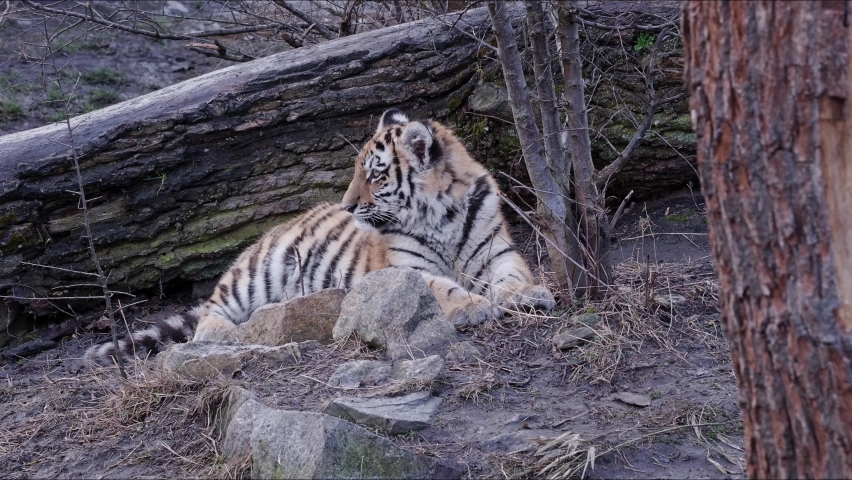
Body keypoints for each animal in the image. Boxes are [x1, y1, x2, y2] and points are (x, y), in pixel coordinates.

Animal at [84, 109, 554, 366]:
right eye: (357, 171)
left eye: (375, 174)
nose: (346, 206)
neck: (443, 213)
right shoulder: (406, 268)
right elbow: (443, 288)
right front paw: (474, 306)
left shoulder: (496, 250)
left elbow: (513, 274)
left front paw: (529, 296)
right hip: (256, 274)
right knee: (210, 316)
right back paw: (230, 334)